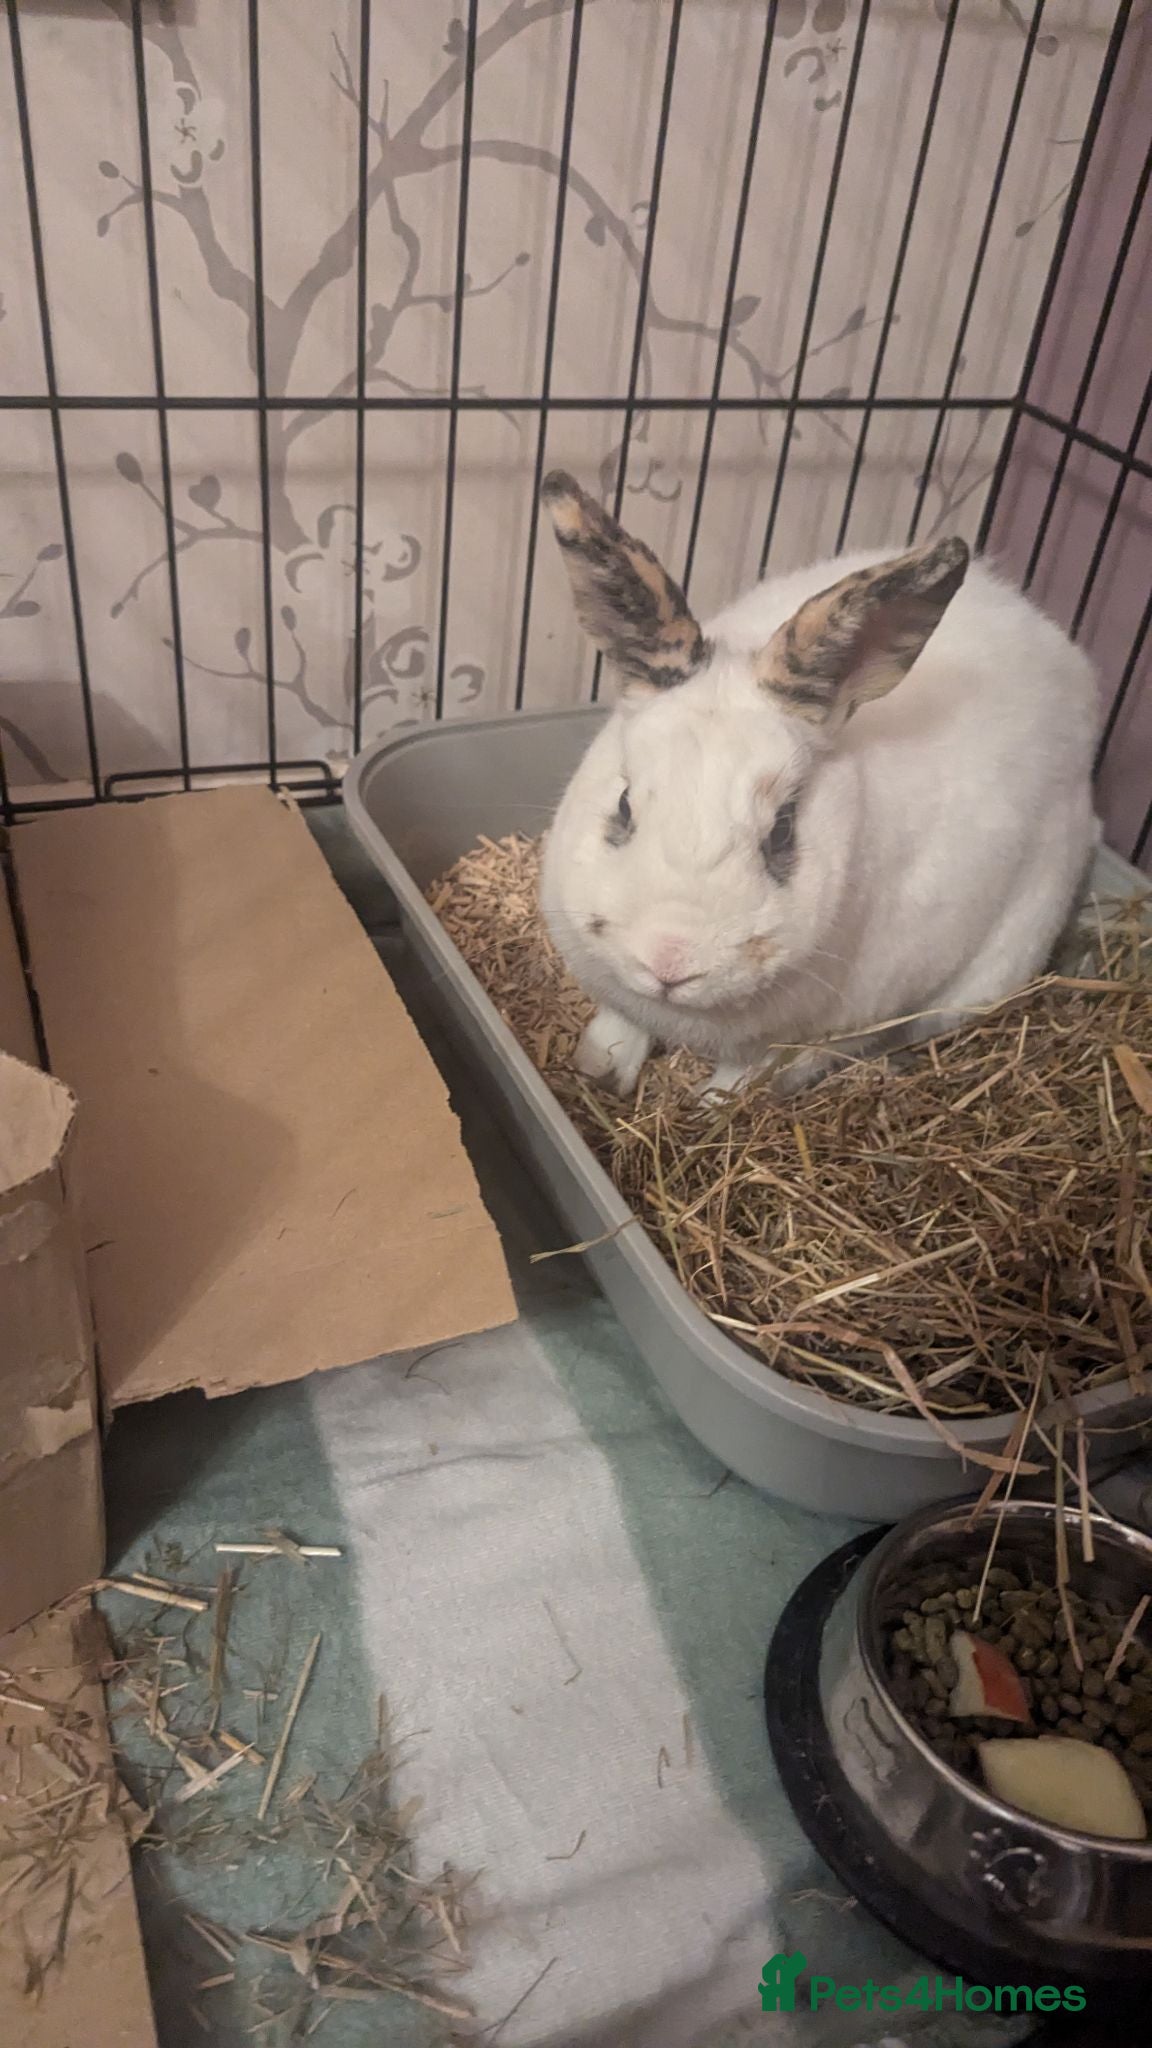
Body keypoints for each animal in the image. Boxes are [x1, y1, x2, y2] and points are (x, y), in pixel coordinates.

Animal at [537, 470, 1100, 1100]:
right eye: (625, 805)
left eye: (782, 832)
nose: (670, 961)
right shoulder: (618, 995)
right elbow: (618, 1030)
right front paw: (598, 1072)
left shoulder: (809, 1044)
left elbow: (738, 1086)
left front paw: (706, 1105)